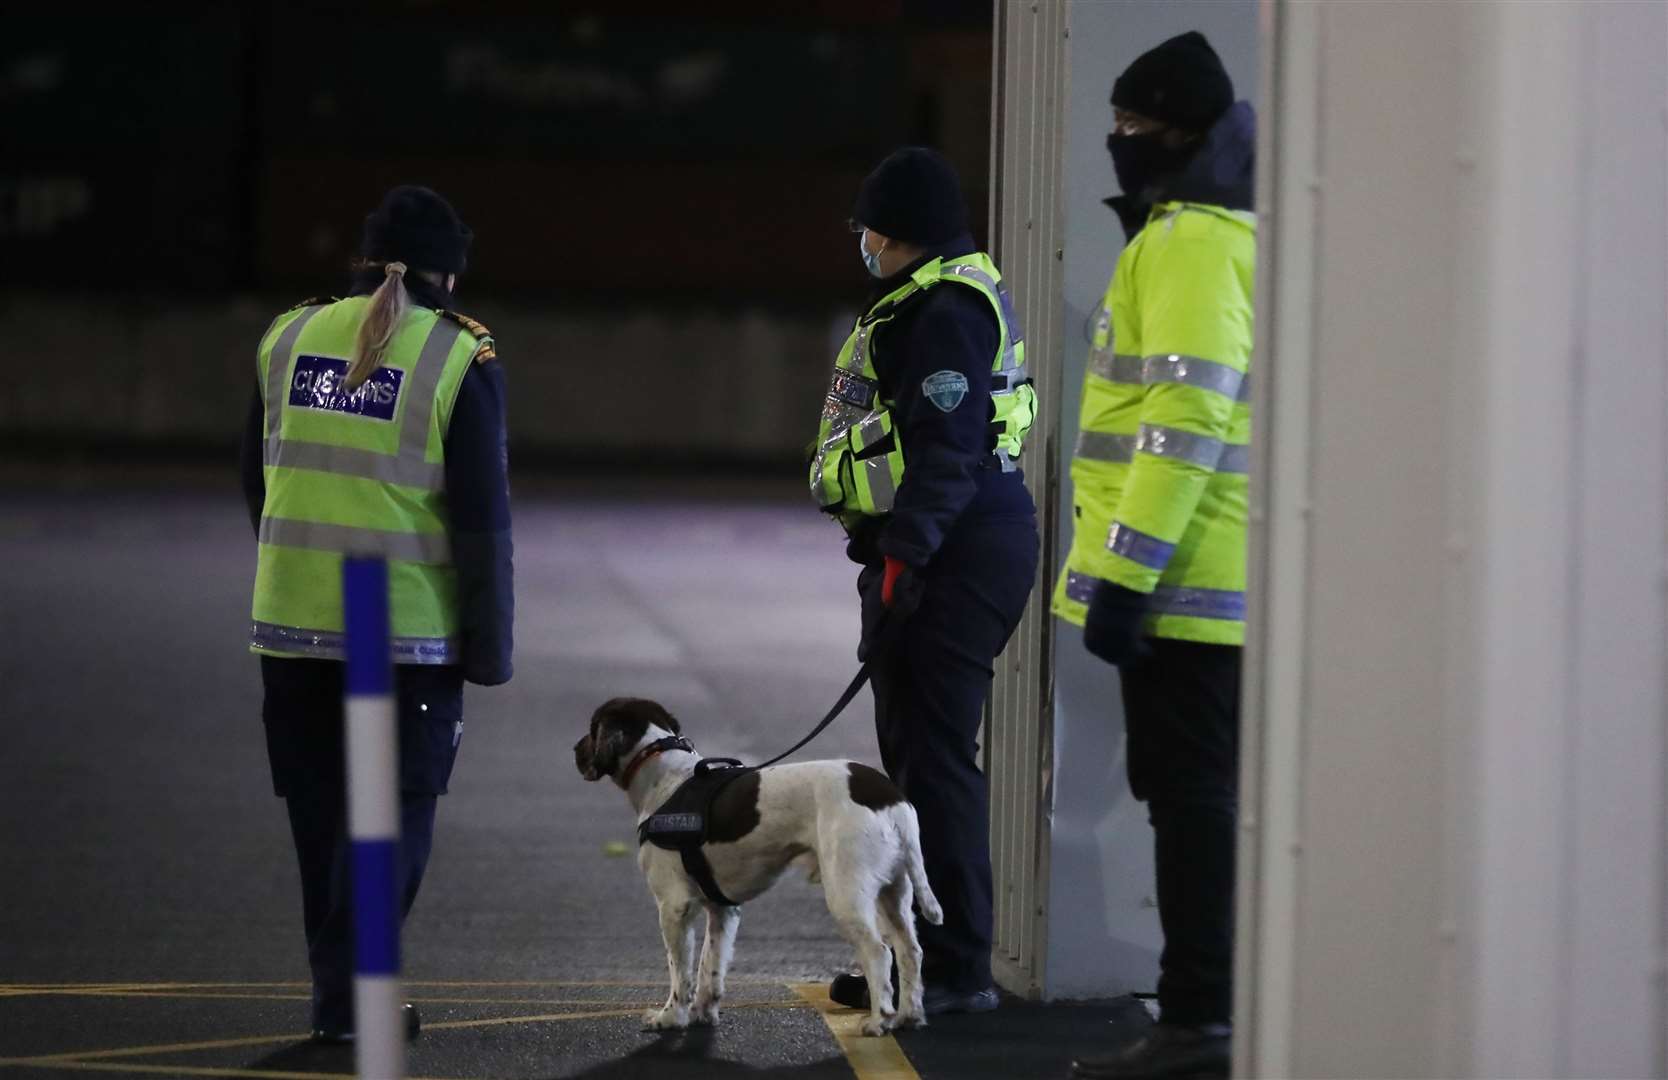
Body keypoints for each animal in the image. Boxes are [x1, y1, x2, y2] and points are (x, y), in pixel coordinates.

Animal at [573, 697, 940, 1034]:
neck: (665, 777)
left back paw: (879, 1022)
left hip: (847, 893)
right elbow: (711, 967)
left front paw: (670, 1018)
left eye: (592, 728)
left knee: (879, 952)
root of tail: (896, 802)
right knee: (911, 950)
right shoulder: (723, 908)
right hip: (894, 892)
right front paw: (704, 1012)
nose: (575, 749)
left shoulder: (674, 907)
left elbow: (681, 974)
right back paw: (909, 1016)